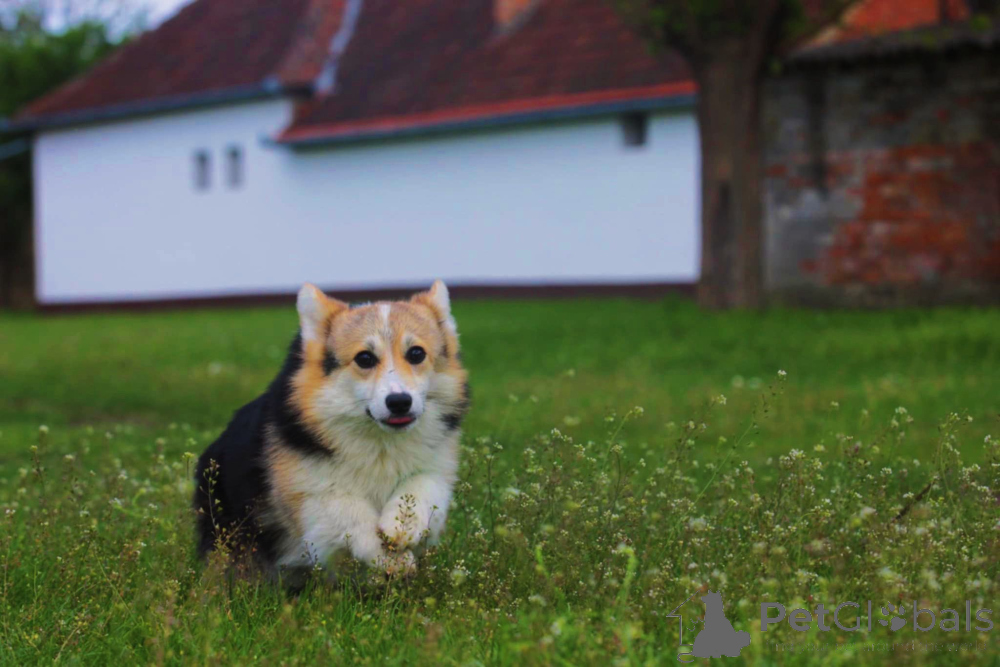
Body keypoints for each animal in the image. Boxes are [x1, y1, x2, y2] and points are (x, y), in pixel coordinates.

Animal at [193, 281, 468, 586]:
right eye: (364, 358)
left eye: (417, 353)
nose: (399, 402)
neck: (381, 441)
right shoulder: (308, 494)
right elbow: (350, 512)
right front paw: (391, 558)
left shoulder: (437, 468)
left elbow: (423, 486)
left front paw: (403, 525)